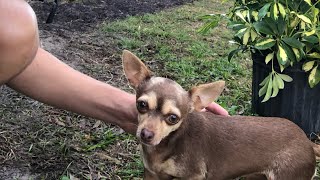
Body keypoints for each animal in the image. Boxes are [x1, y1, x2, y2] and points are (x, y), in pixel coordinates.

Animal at [122, 49, 318, 180]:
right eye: (142, 105)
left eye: (173, 118)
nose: (146, 134)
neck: (168, 142)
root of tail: (306, 141)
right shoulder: (152, 174)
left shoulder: (194, 176)